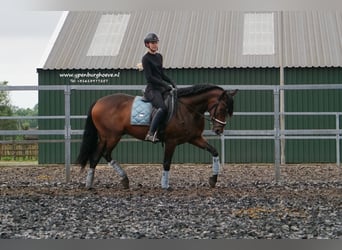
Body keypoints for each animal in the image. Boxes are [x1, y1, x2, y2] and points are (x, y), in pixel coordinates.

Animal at [77, 84, 238, 189]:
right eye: (223, 108)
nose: (218, 129)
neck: (187, 109)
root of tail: (99, 101)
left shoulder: (194, 138)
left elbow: (214, 151)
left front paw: (213, 179)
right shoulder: (171, 141)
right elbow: (166, 162)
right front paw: (165, 185)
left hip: (106, 137)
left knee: (96, 156)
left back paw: (92, 183)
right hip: (111, 136)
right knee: (104, 154)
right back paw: (119, 179)